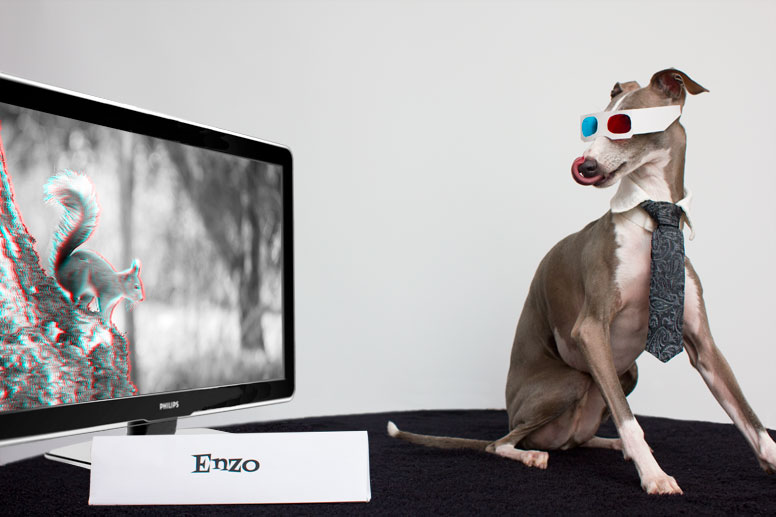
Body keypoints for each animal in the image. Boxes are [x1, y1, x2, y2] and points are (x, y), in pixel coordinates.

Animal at [44, 170, 145, 322]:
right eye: (136, 286)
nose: (141, 299)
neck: (119, 285)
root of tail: (59, 271)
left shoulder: (112, 303)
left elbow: (109, 313)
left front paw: (108, 322)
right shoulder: (106, 294)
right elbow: (103, 306)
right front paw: (103, 318)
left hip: (88, 292)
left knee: (83, 299)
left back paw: (83, 307)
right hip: (80, 278)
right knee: (73, 294)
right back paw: (75, 302)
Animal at [388, 67, 776, 492]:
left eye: (623, 123)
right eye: (593, 125)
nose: (585, 166)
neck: (652, 217)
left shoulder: (702, 343)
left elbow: (748, 416)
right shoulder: (591, 329)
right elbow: (629, 419)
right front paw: (654, 475)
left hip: (625, 374)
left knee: (582, 437)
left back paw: (610, 446)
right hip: (570, 382)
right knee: (500, 443)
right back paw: (533, 454)